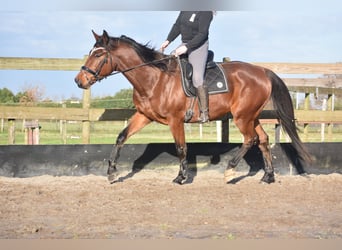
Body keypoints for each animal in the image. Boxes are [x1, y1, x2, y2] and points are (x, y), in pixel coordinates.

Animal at [75, 30, 312, 185]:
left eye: (98, 54)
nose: (79, 80)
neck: (155, 78)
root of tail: (263, 71)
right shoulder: (144, 115)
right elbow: (121, 137)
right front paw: (111, 172)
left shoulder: (175, 120)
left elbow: (181, 148)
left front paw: (181, 177)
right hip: (251, 116)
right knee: (262, 139)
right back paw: (268, 176)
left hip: (242, 117)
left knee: (250, 139)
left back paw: (230, 171)